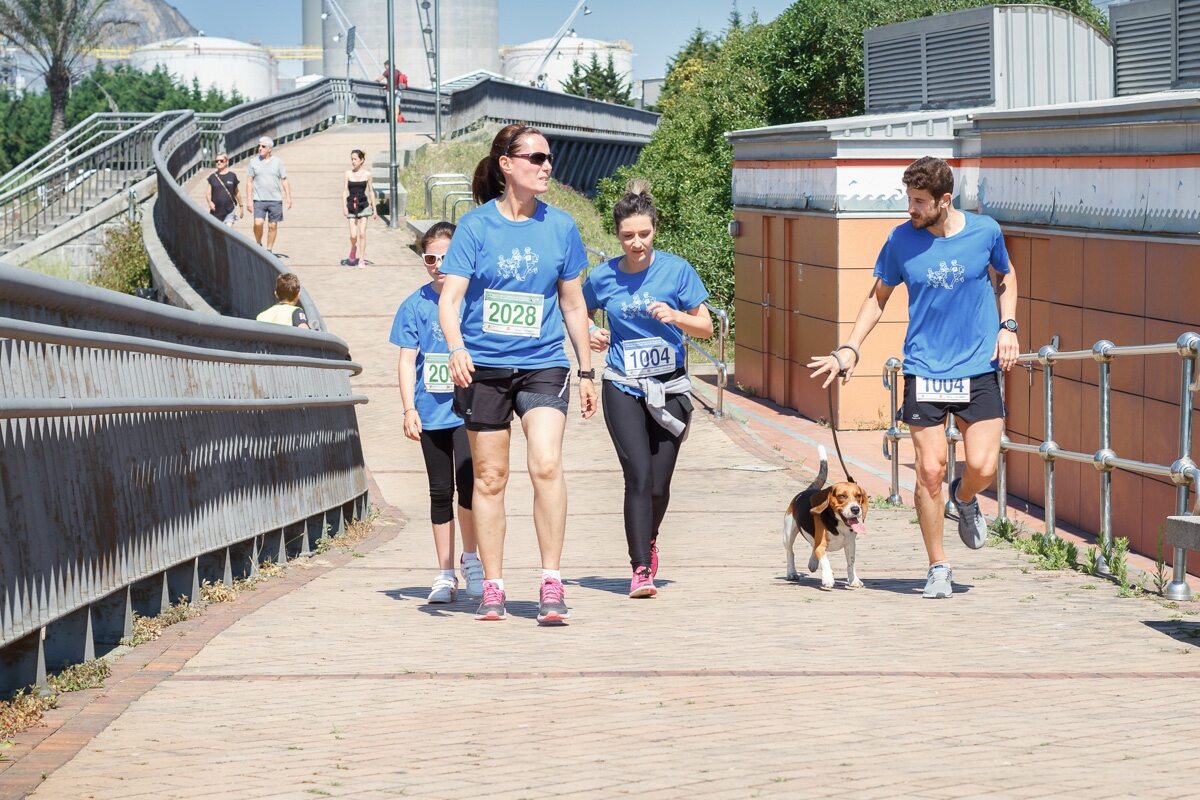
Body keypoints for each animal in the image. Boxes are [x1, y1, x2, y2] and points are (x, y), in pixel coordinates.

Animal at [782, 448, 868, 592]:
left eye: (858, 496)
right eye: (842, 496)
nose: (856, 509)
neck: (839, 525)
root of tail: (809, 489)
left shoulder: (850, 544)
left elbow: (851, 562)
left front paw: (854, 580)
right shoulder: (821, 545)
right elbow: (825, 560)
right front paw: (827, 578)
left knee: (812, 547)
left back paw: (812, 563)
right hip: (788, 535)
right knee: (790, 553)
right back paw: (792, 572)